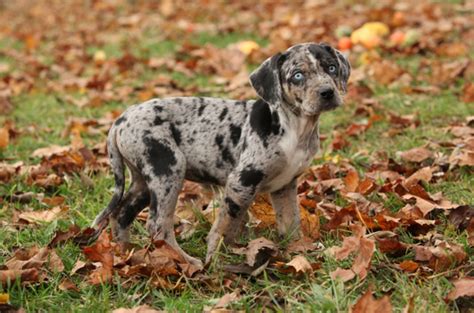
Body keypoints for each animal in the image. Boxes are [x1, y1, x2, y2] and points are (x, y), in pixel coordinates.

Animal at [93, 42, 352, 266]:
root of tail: (120, 120)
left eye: (331, 67)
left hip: (144, 180)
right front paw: (217, 258)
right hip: (168, 169)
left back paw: (126, 253)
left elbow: (290, 223)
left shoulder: (285, 186)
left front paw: (298, 252)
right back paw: (186, 262)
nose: (327, 92)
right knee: (157, 225)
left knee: (121, 214)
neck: (295, 128)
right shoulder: (241, 182)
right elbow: (226, 225)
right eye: (297, 75)